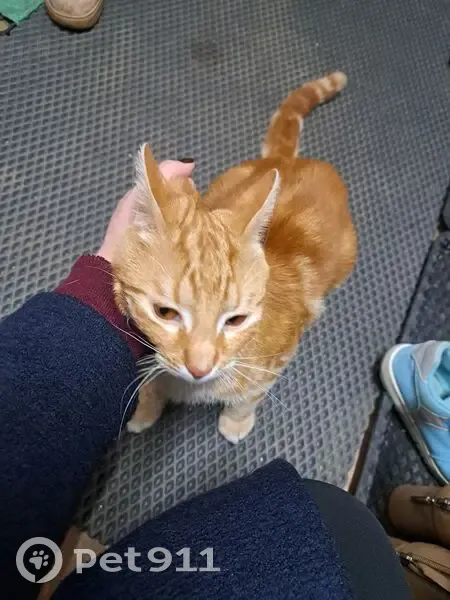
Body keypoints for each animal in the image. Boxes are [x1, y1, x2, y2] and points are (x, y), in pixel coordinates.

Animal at [113, 72, 357, 444]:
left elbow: (249, 396)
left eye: (236, 320)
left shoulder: (276, 360)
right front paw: (145, 410)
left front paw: (236, 421)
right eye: (165, 313)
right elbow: (152, 382)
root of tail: (285, 161)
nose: (199, 368)